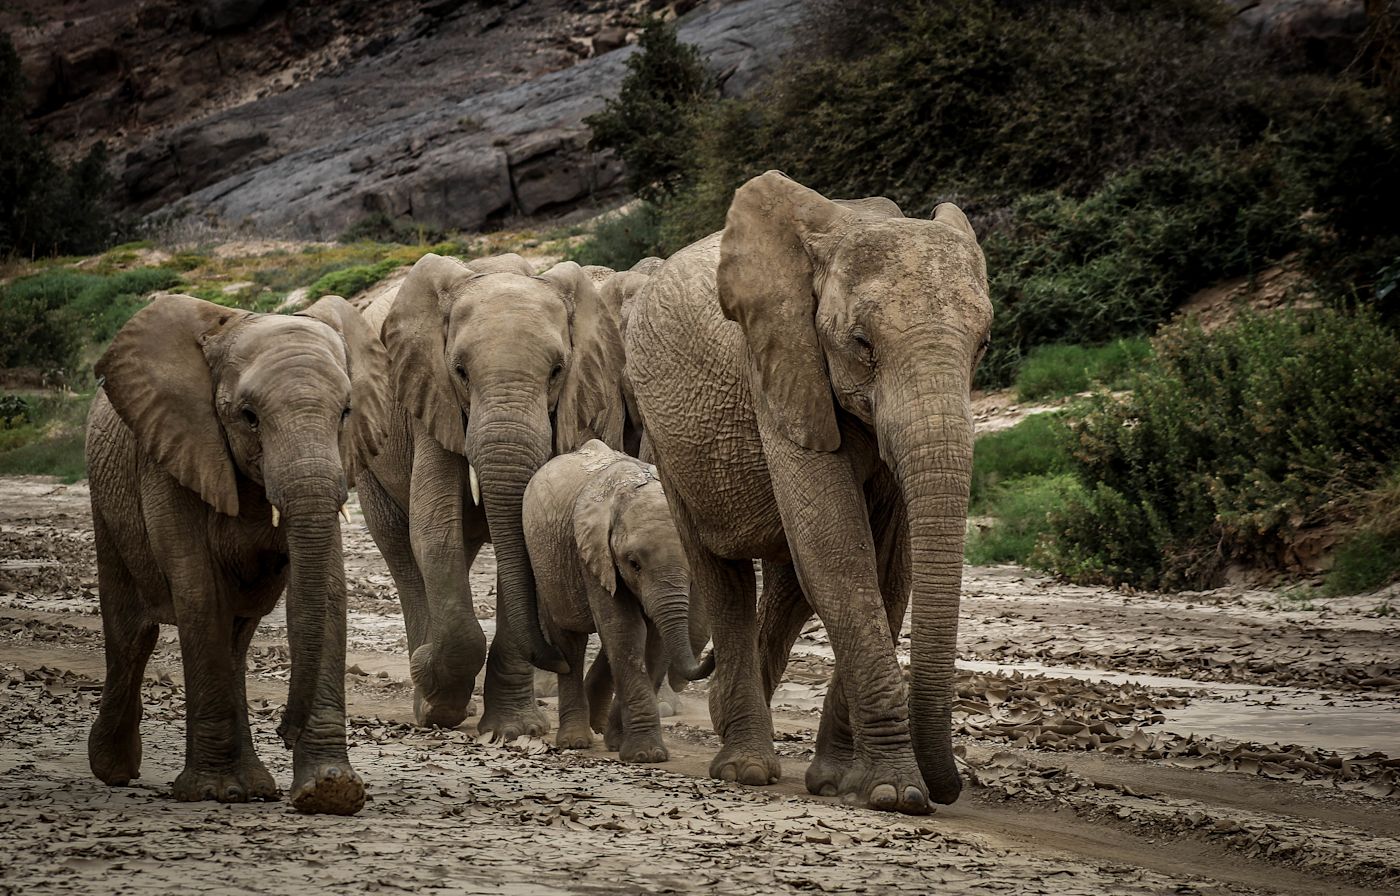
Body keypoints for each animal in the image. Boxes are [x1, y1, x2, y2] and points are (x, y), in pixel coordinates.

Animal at [358, 252, 627, 733]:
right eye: (460, 372)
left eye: (557, 371)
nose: (557, 659)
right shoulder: (431, 398)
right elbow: (433, 531)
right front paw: (437, 698)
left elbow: (525, 536)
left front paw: (514, 730)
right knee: (401, 549)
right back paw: (425, 698)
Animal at [529, 436, 716, 761]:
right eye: (633, 563)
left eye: (692, 564)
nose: (714, 654)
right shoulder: (592, 554)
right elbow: (625, 631)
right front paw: (646, 755)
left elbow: (653, 641)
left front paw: (626, 746)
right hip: (547, 567)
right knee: (570, 643)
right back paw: (575, 741)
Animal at [630, 168, 991, 812]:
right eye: (862, 344)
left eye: (983, 344)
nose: (948, 790)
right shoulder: (778, 367)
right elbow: (839, 554)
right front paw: (897, 793)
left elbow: (886, 568)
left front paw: (846, 783)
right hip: (666, 440)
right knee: (722, 575)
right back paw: (744, 766)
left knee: (790, 583)